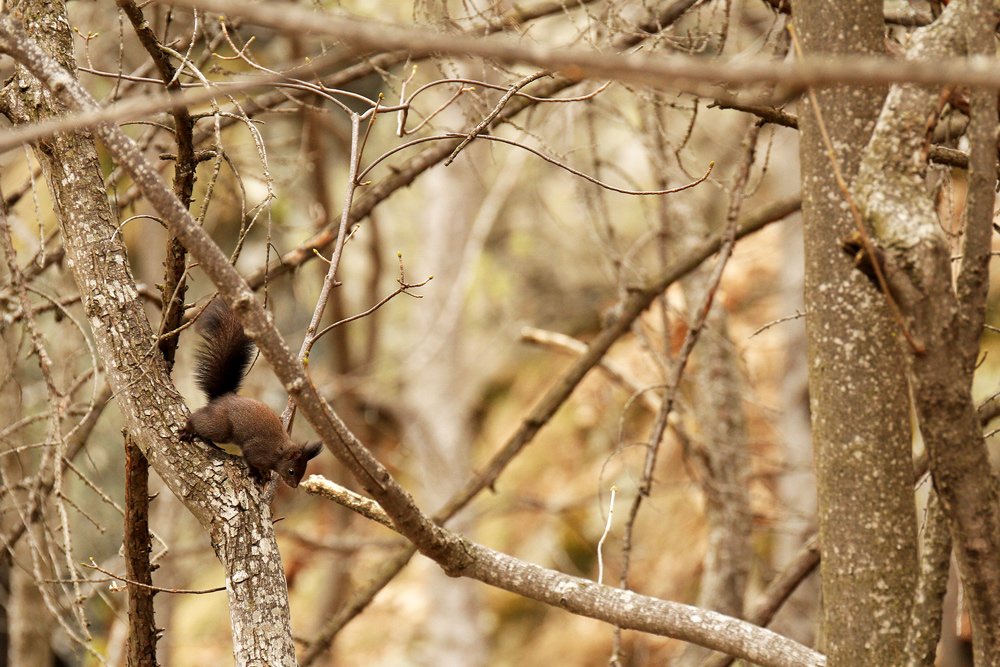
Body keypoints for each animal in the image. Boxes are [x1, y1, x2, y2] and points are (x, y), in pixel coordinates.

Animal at [180, 298, 323, 488]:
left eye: (303, 471)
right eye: (292, 471)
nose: (294, 486)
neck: (278, 451)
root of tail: (223, 397)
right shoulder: (256, 450)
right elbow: (249, 458)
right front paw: (256, 473)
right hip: (221, 426)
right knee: (199, 420)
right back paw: (189, 428)